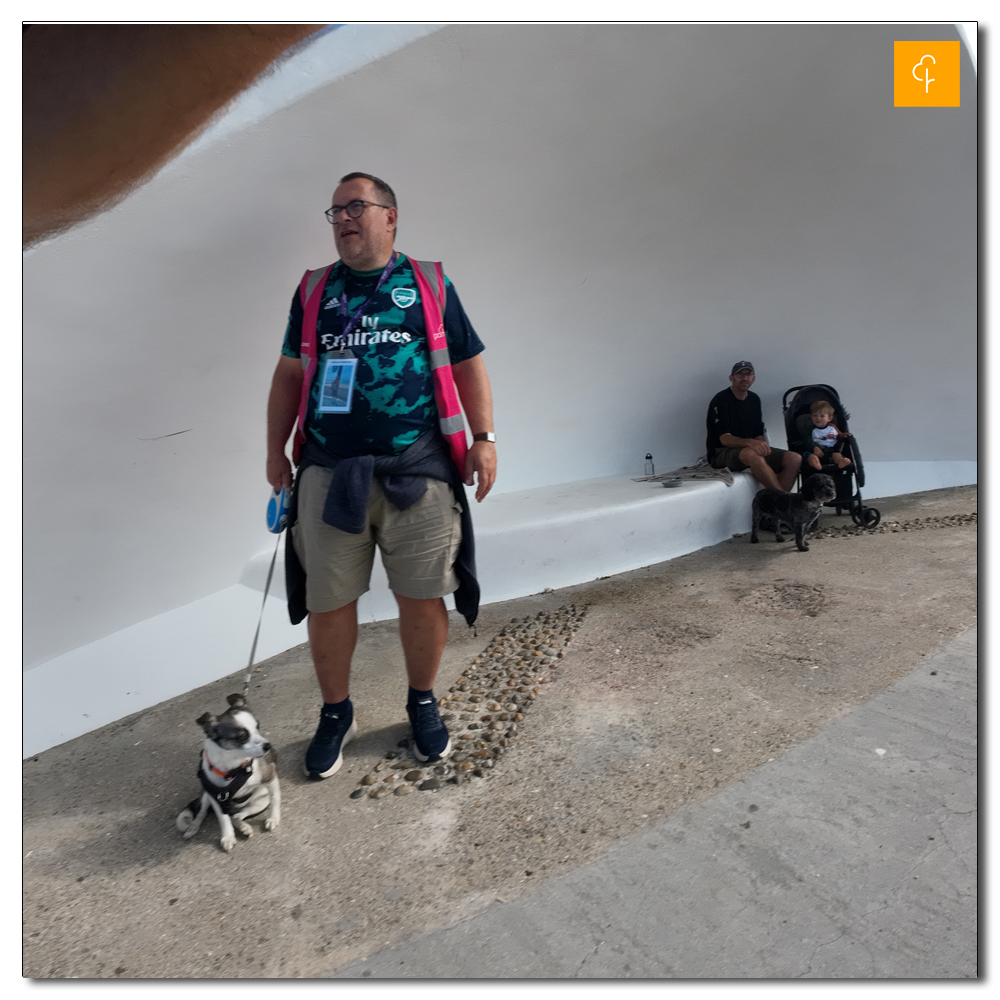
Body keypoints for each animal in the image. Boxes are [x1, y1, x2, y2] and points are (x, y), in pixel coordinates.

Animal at [176, 696, 282, 852]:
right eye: (242, 736)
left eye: (258, 727)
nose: (268, 745)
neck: (233, 767)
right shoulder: (216, 798)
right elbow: (223, 819)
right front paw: (227, 837)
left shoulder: (270, 777)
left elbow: (275, 799)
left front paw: (273, 818)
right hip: (206, 797)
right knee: (202, 813)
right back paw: (193, 827)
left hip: (260, 802)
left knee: (236, 816)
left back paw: (244, 827)